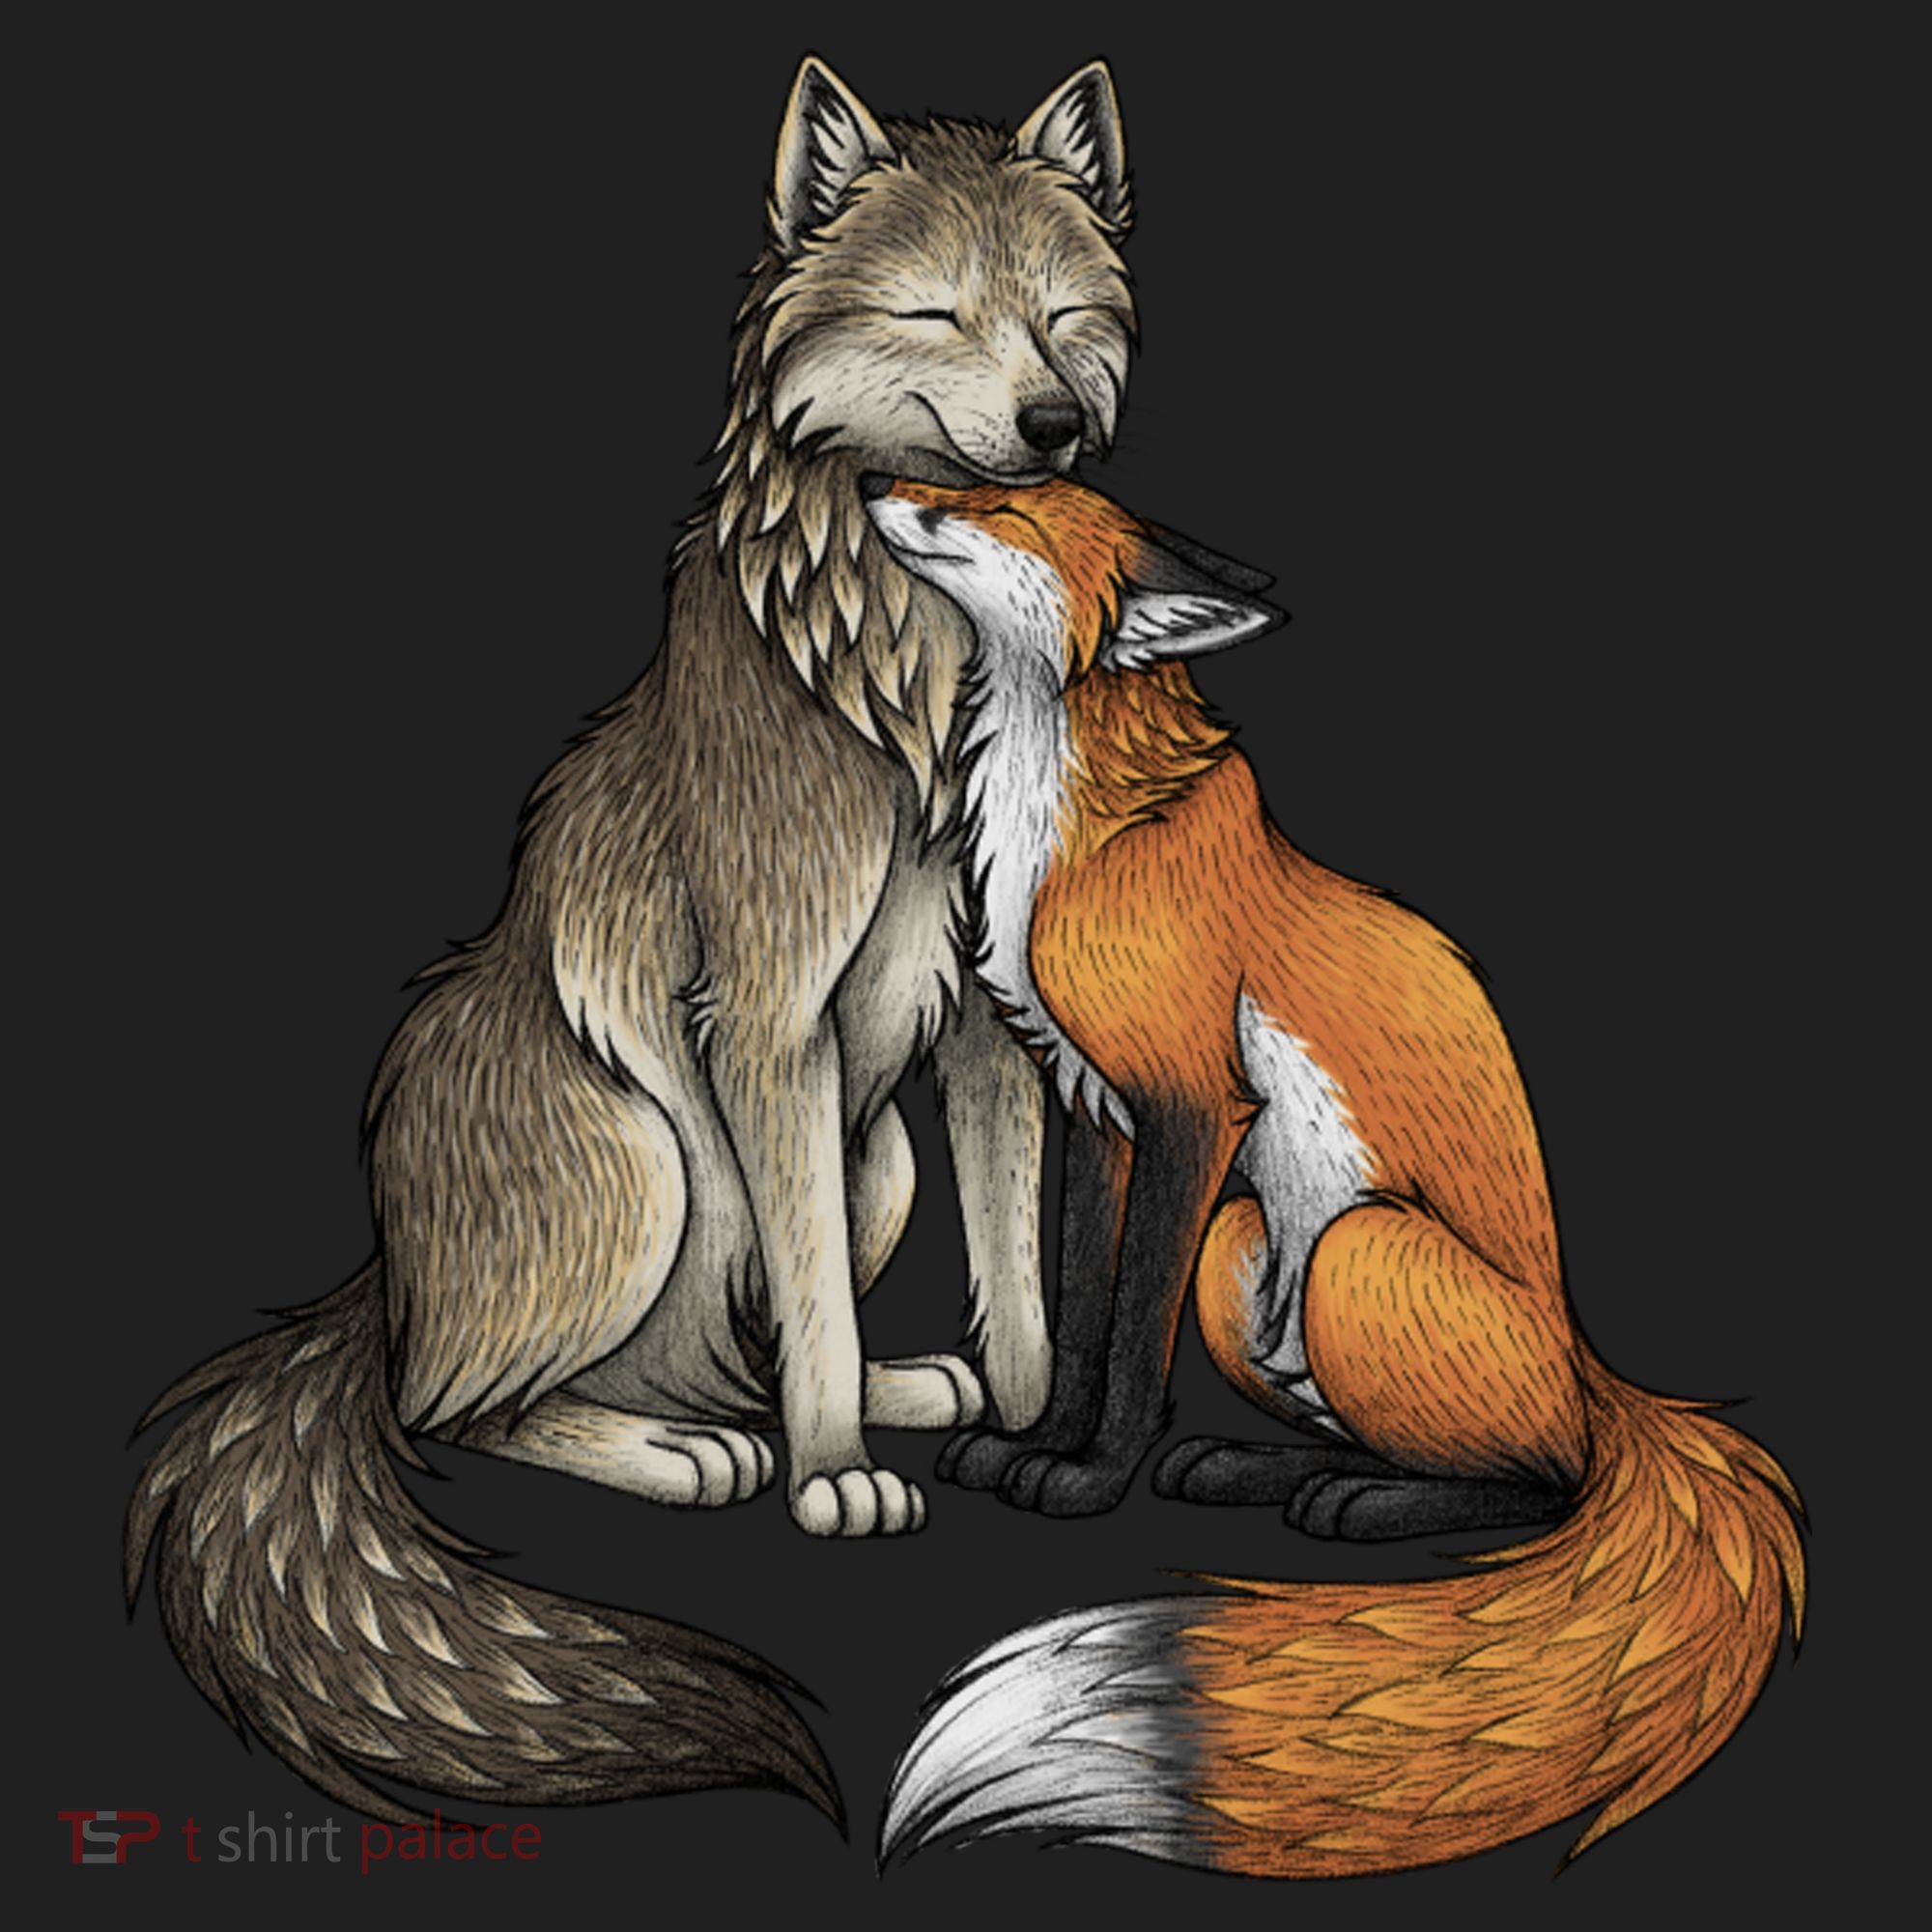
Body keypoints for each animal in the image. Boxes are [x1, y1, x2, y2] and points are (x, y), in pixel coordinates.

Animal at [124, 58, 1139, 1826]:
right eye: (936, 312)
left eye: (1060, 315)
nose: (1053, 429)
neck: (912, 669)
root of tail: (376, 1286)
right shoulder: (775, 1022)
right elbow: (810, 1315)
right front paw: (832, 1480)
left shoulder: (980, 1028)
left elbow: (1004, 1286)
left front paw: (1009, 1426)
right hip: (652, 1154)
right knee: (469, 1406)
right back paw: (693, 1452)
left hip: (874, 1154)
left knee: (745, 1333)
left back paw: (875, 1394)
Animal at [864, 475, 1807, 1876]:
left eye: (1008, 505)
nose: (878, 486)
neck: (1067, 831)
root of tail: (1598, 1374)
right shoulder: (1097, 1108)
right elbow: (1081, 1311)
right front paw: (1036, 1446)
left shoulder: (1193, 1107)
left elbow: (1129, 1340)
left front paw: (1089, 1480)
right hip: (1246, 1248)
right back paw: (1260, 1468)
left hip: (1361, 1251)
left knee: (1540, 1478)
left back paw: (1356, 1501)